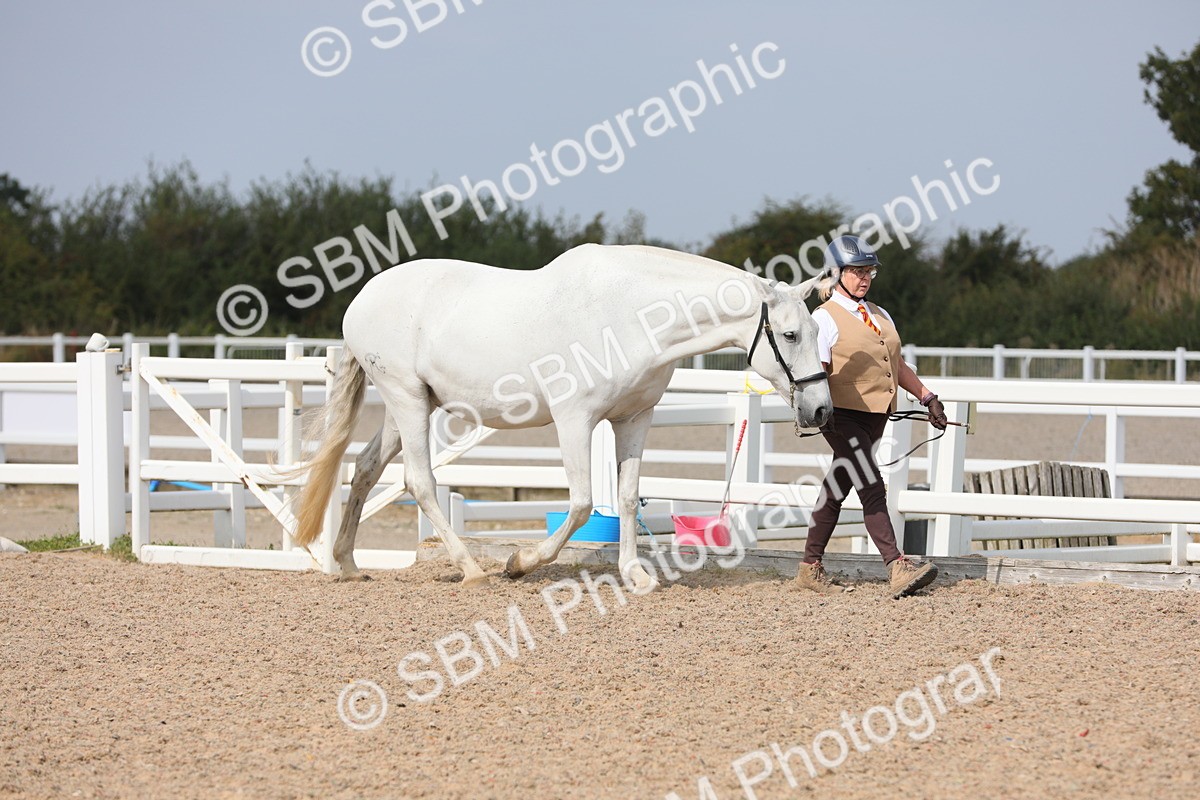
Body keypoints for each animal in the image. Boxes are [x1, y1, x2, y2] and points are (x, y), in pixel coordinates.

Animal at [289, 243, 832, 591]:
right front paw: (519, 562)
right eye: (789, 335)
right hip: (407, 401)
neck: (631, 315)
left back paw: (346, 563)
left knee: (364, 469)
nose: (821, 408)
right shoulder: (575, 420)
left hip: (409, 408)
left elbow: (628, 497)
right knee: (418, 481)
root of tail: (361, 299)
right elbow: (582, 503)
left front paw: (635, 575)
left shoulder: (634, 419)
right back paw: (472, 570)